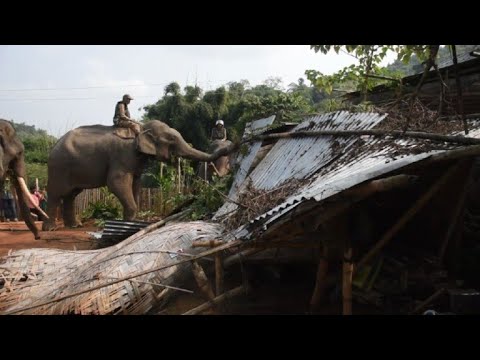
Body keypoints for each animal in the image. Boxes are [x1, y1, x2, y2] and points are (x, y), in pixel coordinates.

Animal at [43, 119, 236, 231]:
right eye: (171, 140)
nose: (235, 145)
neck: (142, 128)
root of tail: (54, 145)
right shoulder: (122, 156)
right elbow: (116, 183)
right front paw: (127, 221)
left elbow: (136, 184)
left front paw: (134, 220)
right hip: (58, 167)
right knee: (55, 193)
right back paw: (50, 228)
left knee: (71, 195)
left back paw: (74, 225)